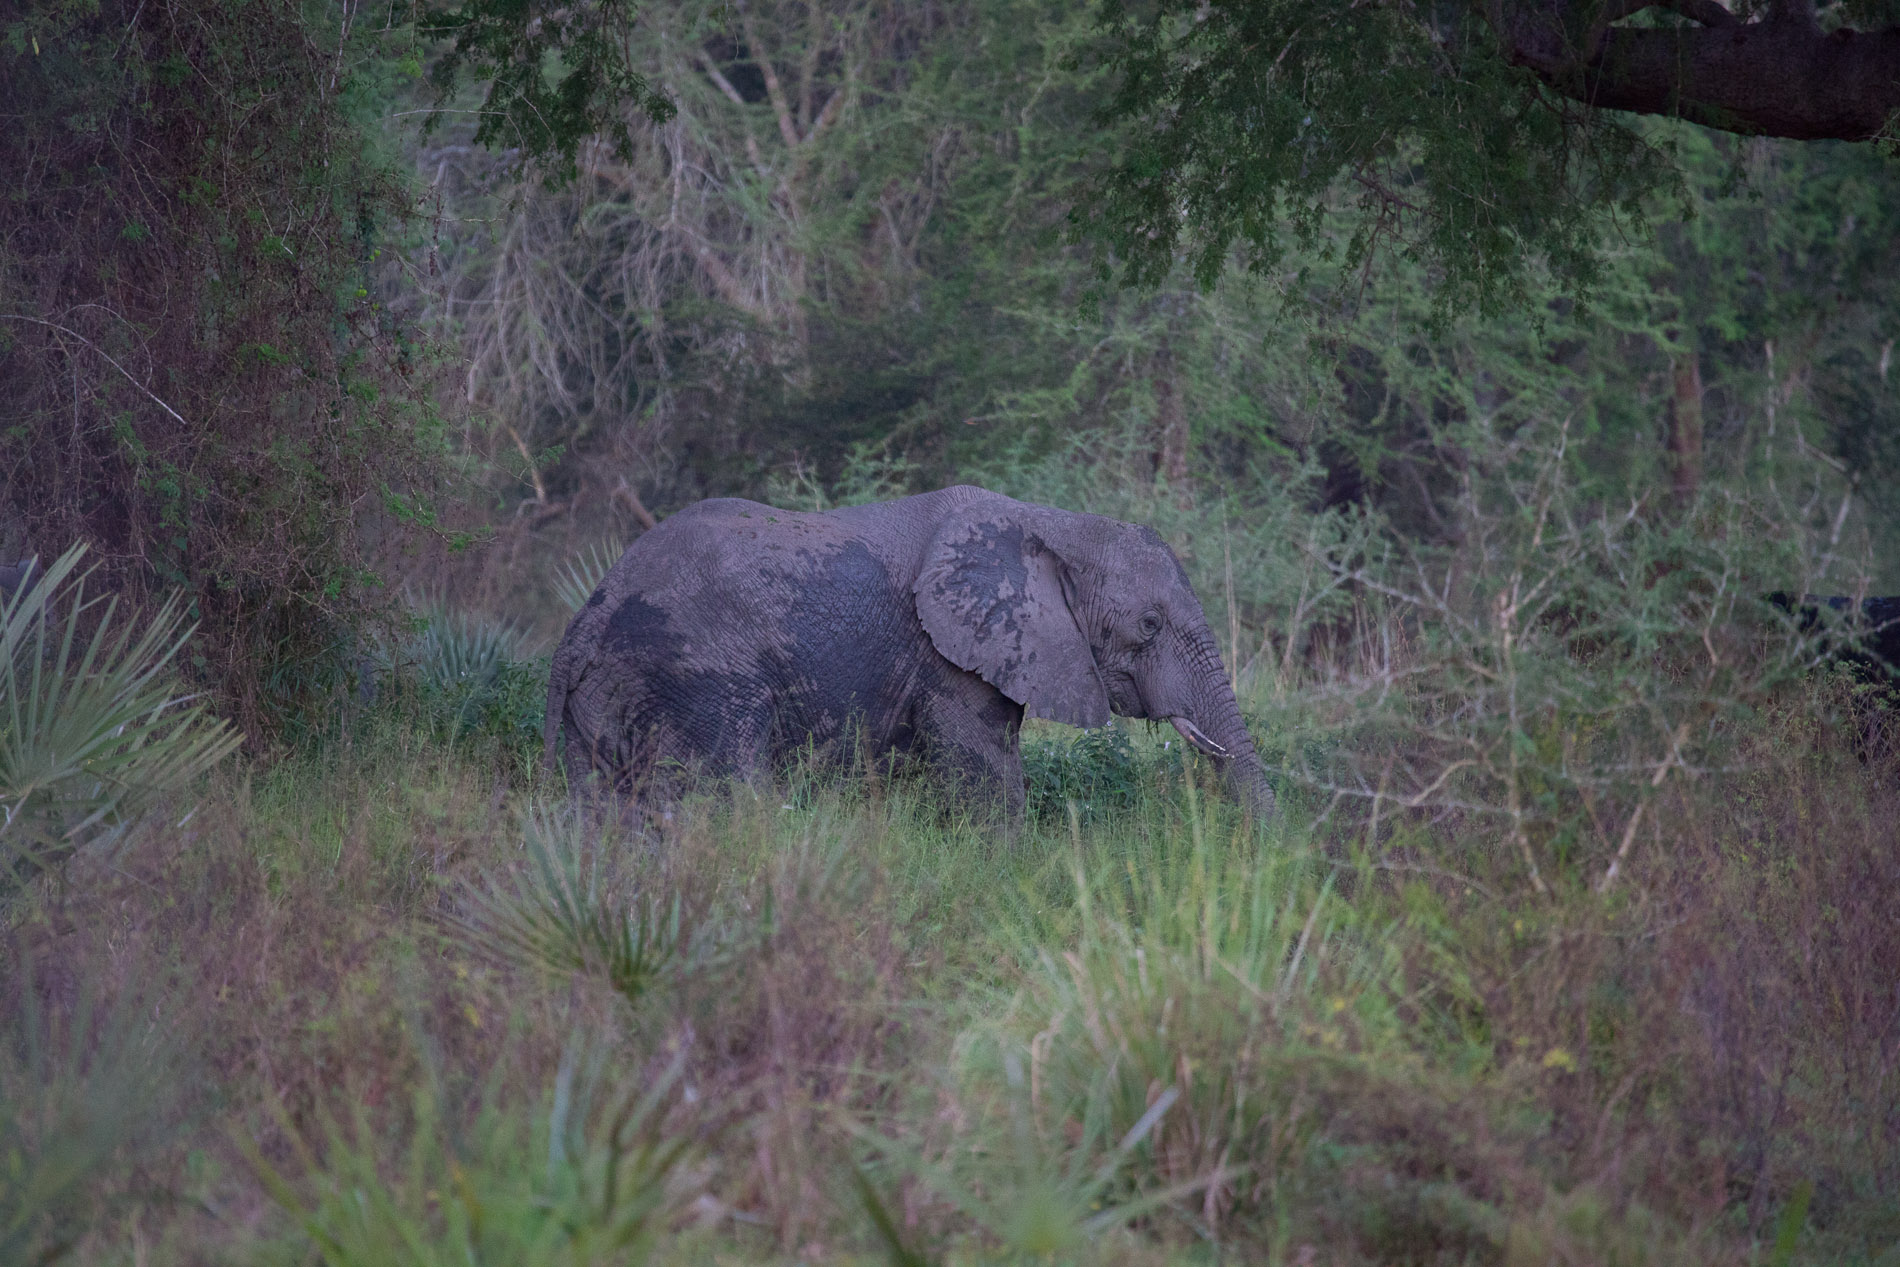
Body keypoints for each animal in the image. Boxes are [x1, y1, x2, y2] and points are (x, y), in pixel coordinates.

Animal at [539, 480, 1276, 816]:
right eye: (1149, 626)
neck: (1050, 522)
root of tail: (579, 628)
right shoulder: (950, 658)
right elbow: (988, 777)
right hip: (700, 679)